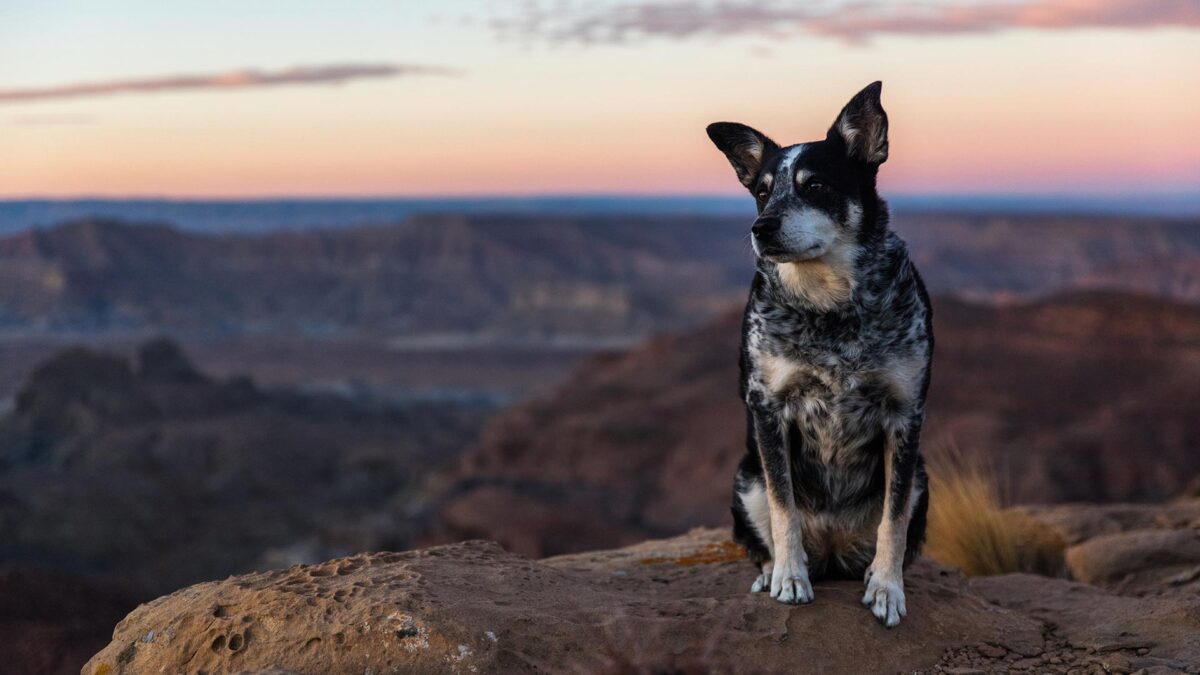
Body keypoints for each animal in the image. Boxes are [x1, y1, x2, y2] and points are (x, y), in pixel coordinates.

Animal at [705, 82, 931, 624]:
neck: (830, 307)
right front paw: (789, 578)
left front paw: (888, 589)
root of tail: (832, 549)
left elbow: (893, 519)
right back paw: (773, 572)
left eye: (815, 186)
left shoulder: (904, 414)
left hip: (922, 477)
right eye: (762, 191)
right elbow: (783, 506)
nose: (761, 227)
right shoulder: (769, 407)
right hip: (745, 477)